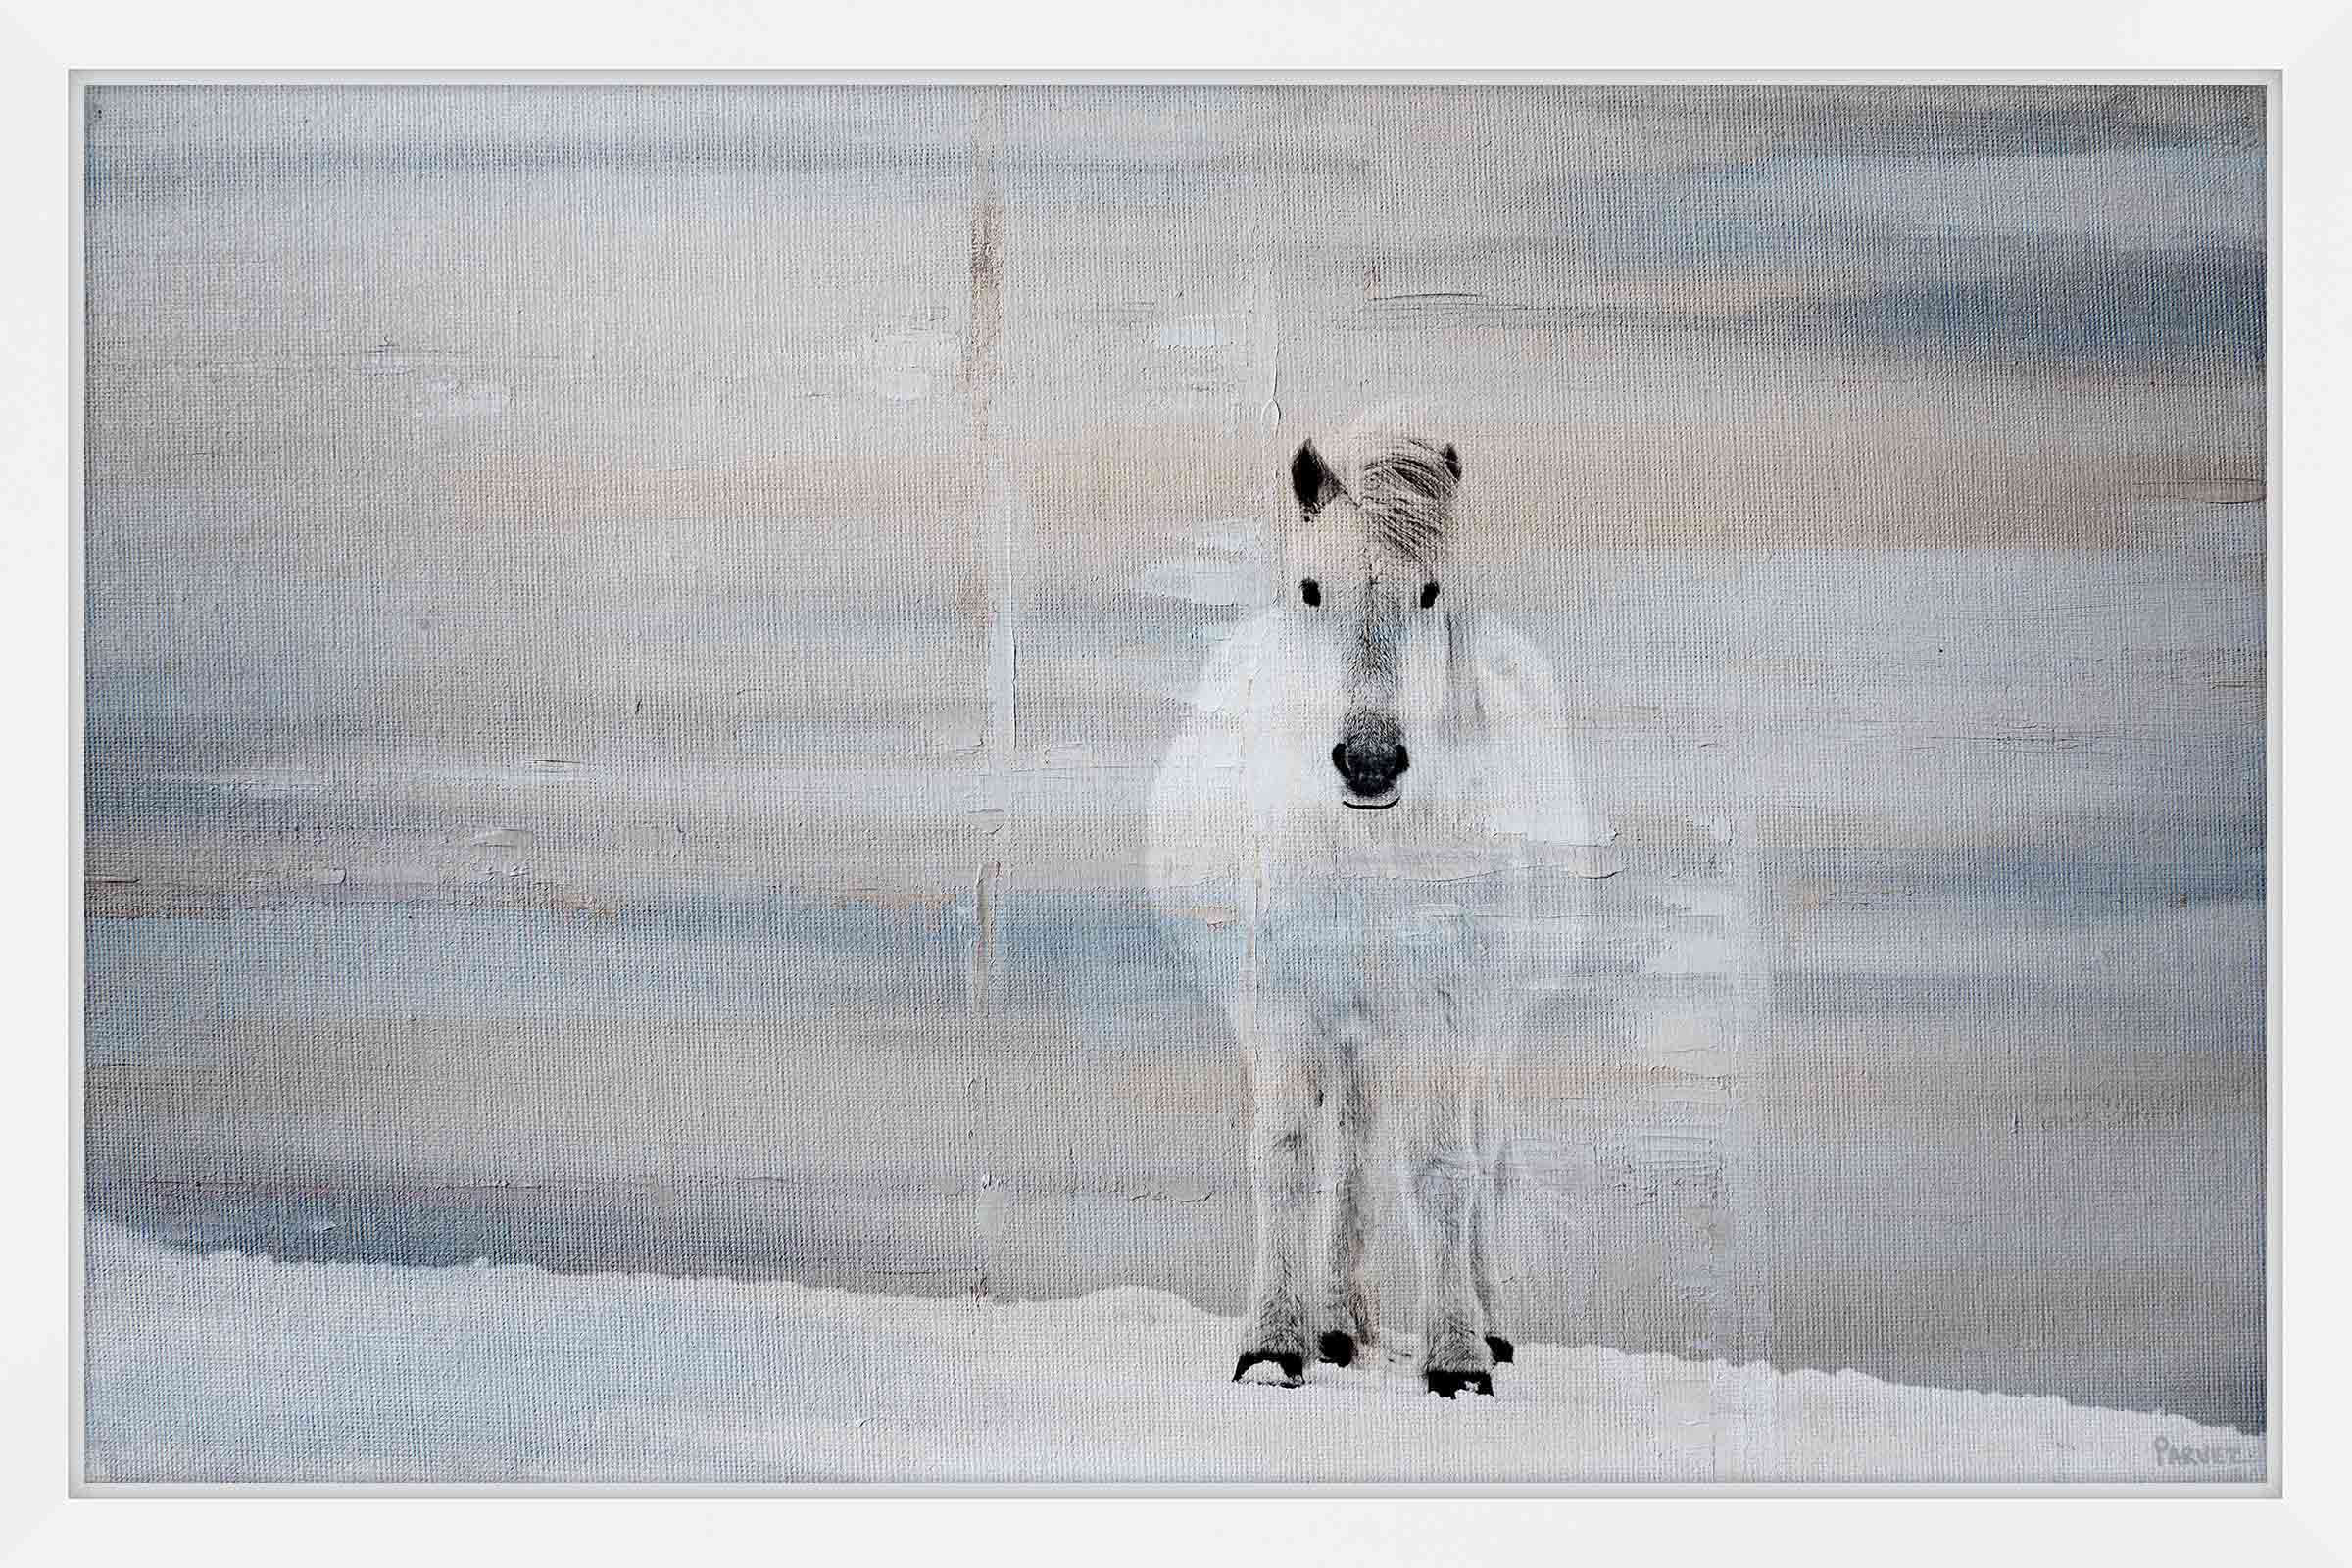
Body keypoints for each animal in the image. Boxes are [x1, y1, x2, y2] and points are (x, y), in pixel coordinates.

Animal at [1145, 415, 1611, 1398]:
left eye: (1429, 591)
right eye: (1311, 589)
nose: (1368, 761)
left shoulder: (1447, 1009)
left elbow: (1442, 1169)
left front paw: (1457, 1358)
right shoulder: (1281, 1005)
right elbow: (1289, 1159)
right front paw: (1273, 1345)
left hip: (1489, 1025)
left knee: (1483, 1154)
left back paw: (1485, 1323)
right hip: (1352, 1030)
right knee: (1353, 1156)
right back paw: (1336, 1324)